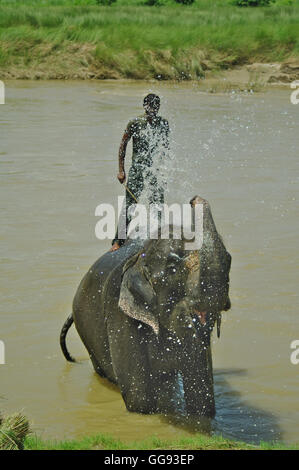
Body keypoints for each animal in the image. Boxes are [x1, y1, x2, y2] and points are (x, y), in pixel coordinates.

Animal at [60, 196, 232, 416]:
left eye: (229, 259)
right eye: (172, 268)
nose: (194, 200)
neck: (139, 258)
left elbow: (201, 394)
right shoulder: (121, 319)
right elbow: (140, 399)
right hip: (86, 332)